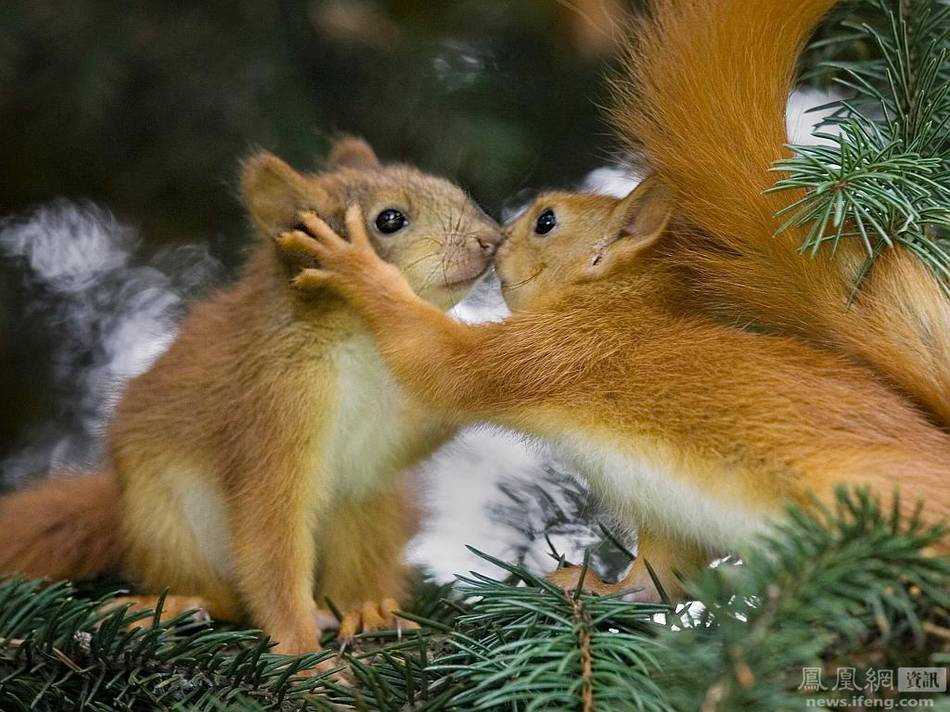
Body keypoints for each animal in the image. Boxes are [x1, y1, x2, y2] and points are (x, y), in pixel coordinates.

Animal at [0, 138, 506, 656]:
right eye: (389, 220)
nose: (493, 239)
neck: (363, 342)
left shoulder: (399, 414)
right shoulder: (273, 407)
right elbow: (271, 540)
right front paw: (303, 655)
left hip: (371, 505)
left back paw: (367, 610)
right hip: (166, 520)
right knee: (224, 597)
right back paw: (176, 607)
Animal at [278, 0, 948, 600]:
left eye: (546, 222)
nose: (494, 239)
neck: (609, 308)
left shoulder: (549, 353)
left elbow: (440, 363)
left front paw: (356, 266)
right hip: (671, 514)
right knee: (662, 581)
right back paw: (598, 589)